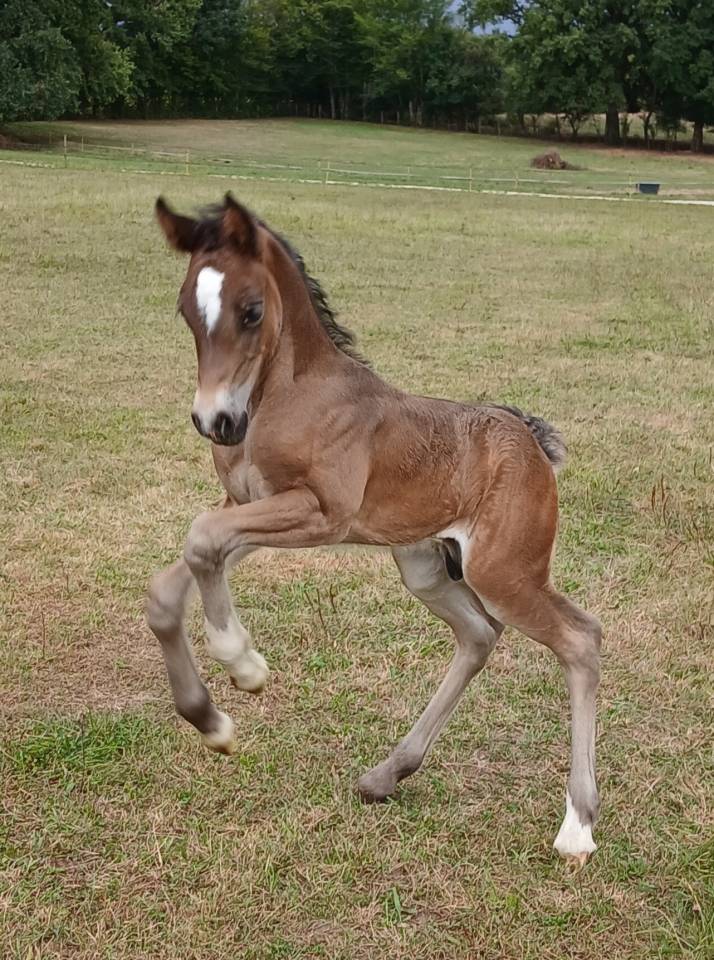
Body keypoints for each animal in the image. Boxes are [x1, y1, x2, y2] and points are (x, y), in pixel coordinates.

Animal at [147, 193, 601, 867]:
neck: (288, 394)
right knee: (478, 635)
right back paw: (387, 774)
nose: (216, 421)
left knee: (580, 639)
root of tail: (531, 438)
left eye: (251, 311)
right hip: (424, 567)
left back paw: (577, 825)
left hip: (504, 573)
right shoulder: (251, 503)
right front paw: (211, 720)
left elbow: (202, 538)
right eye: (185, 311)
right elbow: (177, 576)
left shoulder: (321, 512)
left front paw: (243, 665)